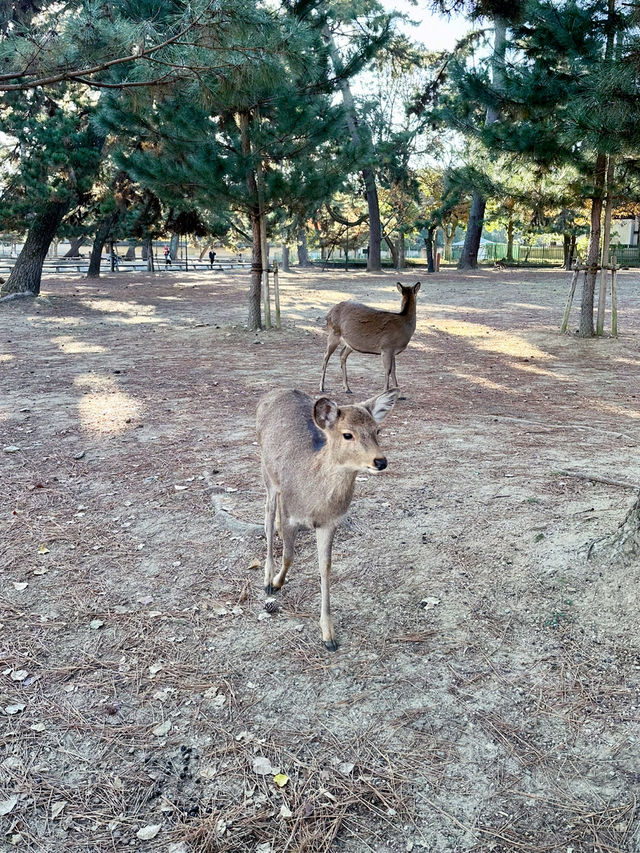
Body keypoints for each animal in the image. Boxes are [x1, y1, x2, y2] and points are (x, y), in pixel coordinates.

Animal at [256, 390, 398, 648]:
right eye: (347, 434)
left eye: (378, 430)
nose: (380, 461)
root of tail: (271, 393)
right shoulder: (291, 514)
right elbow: (289, 556)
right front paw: (276, 583)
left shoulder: (329, 523)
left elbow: (326, 567)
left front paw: (328, 634)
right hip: (266, 472)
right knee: (268, 513)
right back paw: (267, 576)